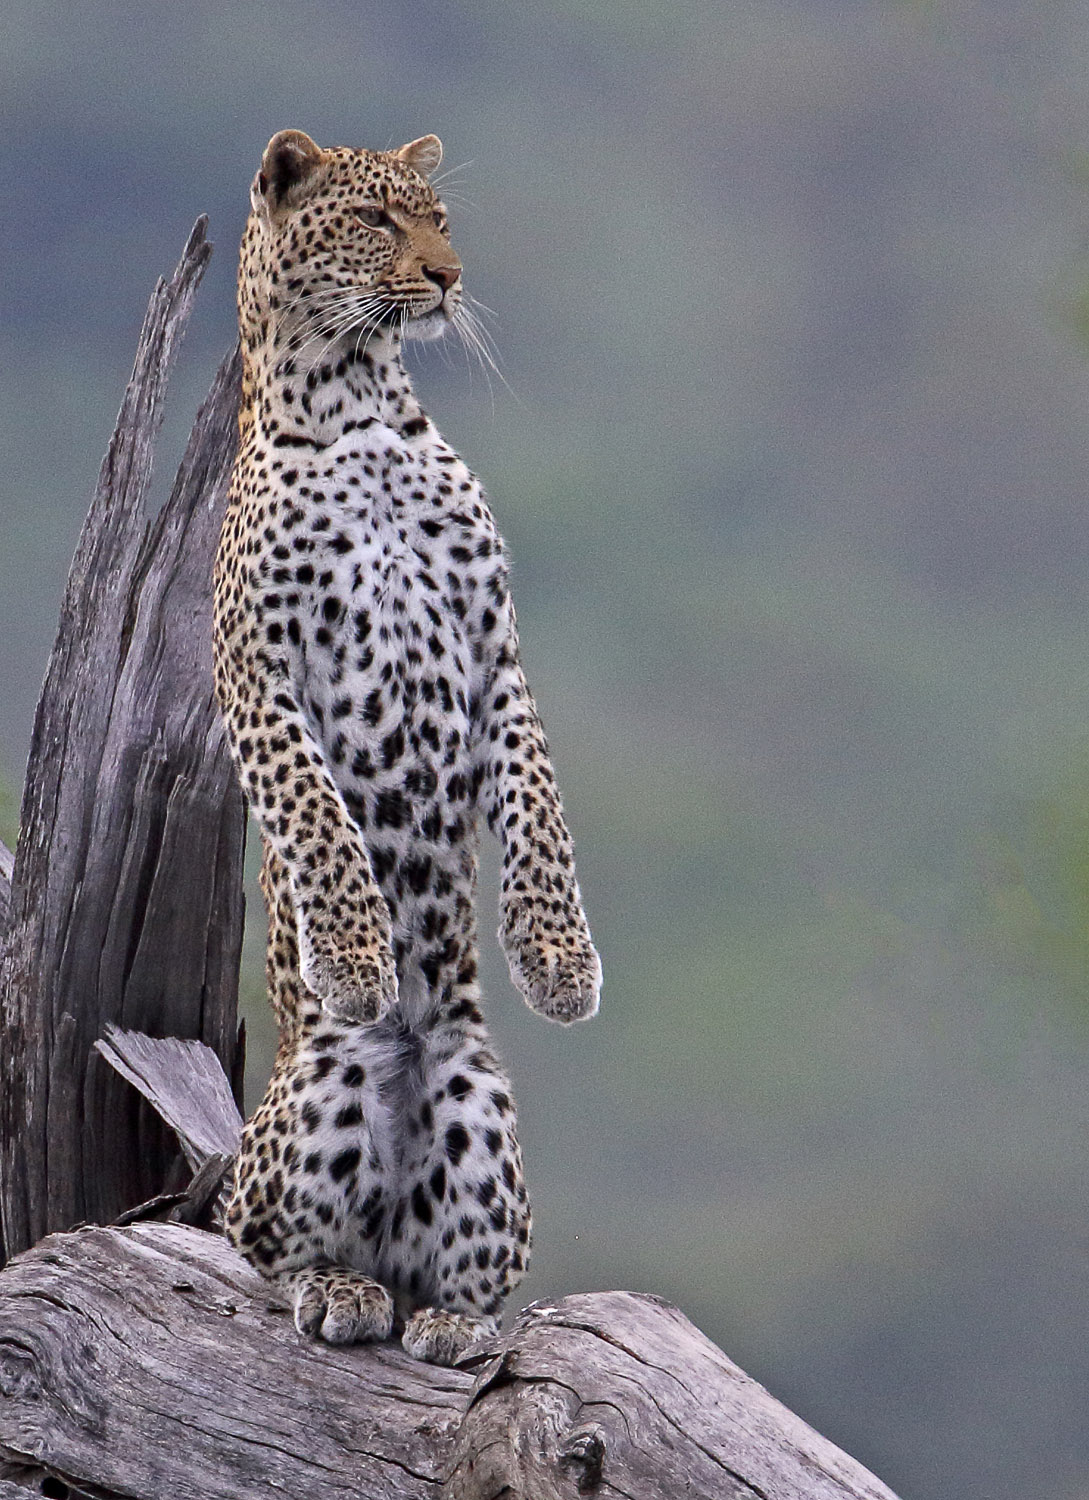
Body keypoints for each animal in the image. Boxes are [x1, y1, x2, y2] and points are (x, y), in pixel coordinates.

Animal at [212, 128, 601, 1366]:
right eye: (377, 222)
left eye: (438, 217)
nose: (447, 277)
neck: (359, 402)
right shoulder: (256, 672)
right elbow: (316, 816)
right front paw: (353, 957)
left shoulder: (493, 649)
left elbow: (540, 807)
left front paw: (559, 965)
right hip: (318, 1096)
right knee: (266, 1246)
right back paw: (339, 1289)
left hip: (482, 1111)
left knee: (459, 1274)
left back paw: (453, 1322)